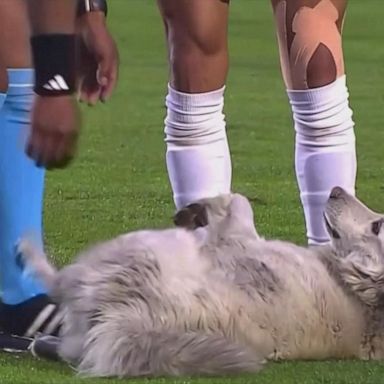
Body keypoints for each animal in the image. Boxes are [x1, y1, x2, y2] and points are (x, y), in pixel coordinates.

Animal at [19, 187, 384, 378]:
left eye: (378, 225)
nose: (336, 190)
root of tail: (131, 322)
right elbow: (239, 202)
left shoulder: (237, 238)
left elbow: (238, 202)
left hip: (139, 247)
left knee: (59, 281)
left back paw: (29, 251)